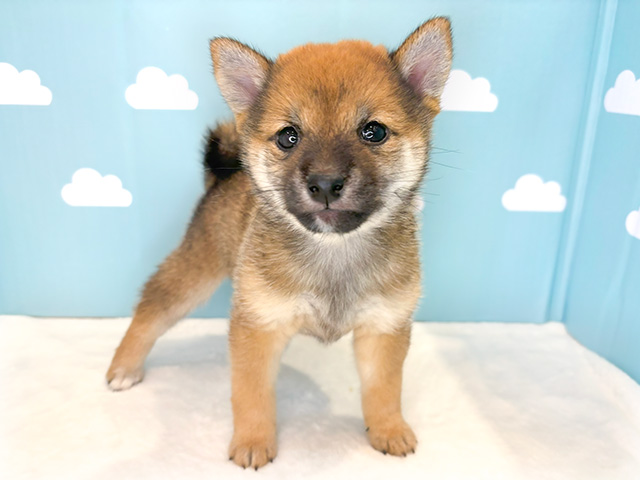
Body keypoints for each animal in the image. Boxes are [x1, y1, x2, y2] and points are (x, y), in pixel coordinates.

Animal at [107, 17, 452, 468]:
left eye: (373, 131)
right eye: (289, 137)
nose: (325, 182)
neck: (334, 252)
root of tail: (222, 176)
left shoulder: (384, 328)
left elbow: (384, 390)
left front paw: (389, 430)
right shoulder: (259, 326)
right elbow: (251, 395)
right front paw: (253, 441)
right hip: (195, 274)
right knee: (150, 311)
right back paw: (124, 367)